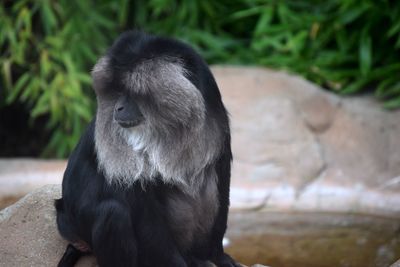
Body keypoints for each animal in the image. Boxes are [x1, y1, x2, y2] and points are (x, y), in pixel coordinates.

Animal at [54, 31, 239, 267]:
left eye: (132, 92)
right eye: (117, 91)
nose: (118, 108)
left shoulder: (216, 127)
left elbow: (222, 181)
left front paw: (219, 257)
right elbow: (145, 217)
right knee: (113, 214)